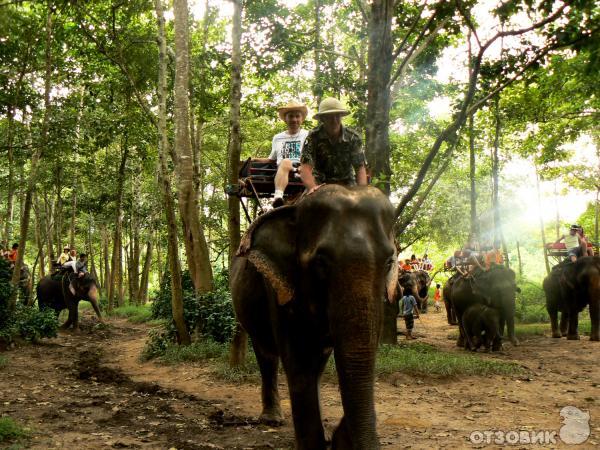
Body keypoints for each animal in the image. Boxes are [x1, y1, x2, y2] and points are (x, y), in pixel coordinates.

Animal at [231, 185, 398, 448]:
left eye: (389, 262)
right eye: (320, 262)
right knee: (266, 354)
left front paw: (332, 437)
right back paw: (271, 419)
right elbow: (298, 362)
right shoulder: (279, 286)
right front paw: (316, 445)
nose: (339, 436)